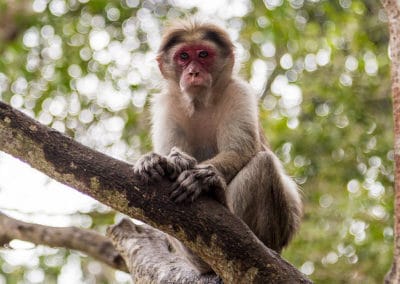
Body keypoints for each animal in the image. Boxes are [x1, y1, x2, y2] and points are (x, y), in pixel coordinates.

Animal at [134, 19, 300, 272]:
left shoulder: (239, 92)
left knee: (264, 164)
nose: (193, 72)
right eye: (184, 56)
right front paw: (158, 160)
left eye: (203, 55)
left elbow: (240, 150)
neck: (201, 103)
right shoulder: (166, 103)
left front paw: (200, 176)